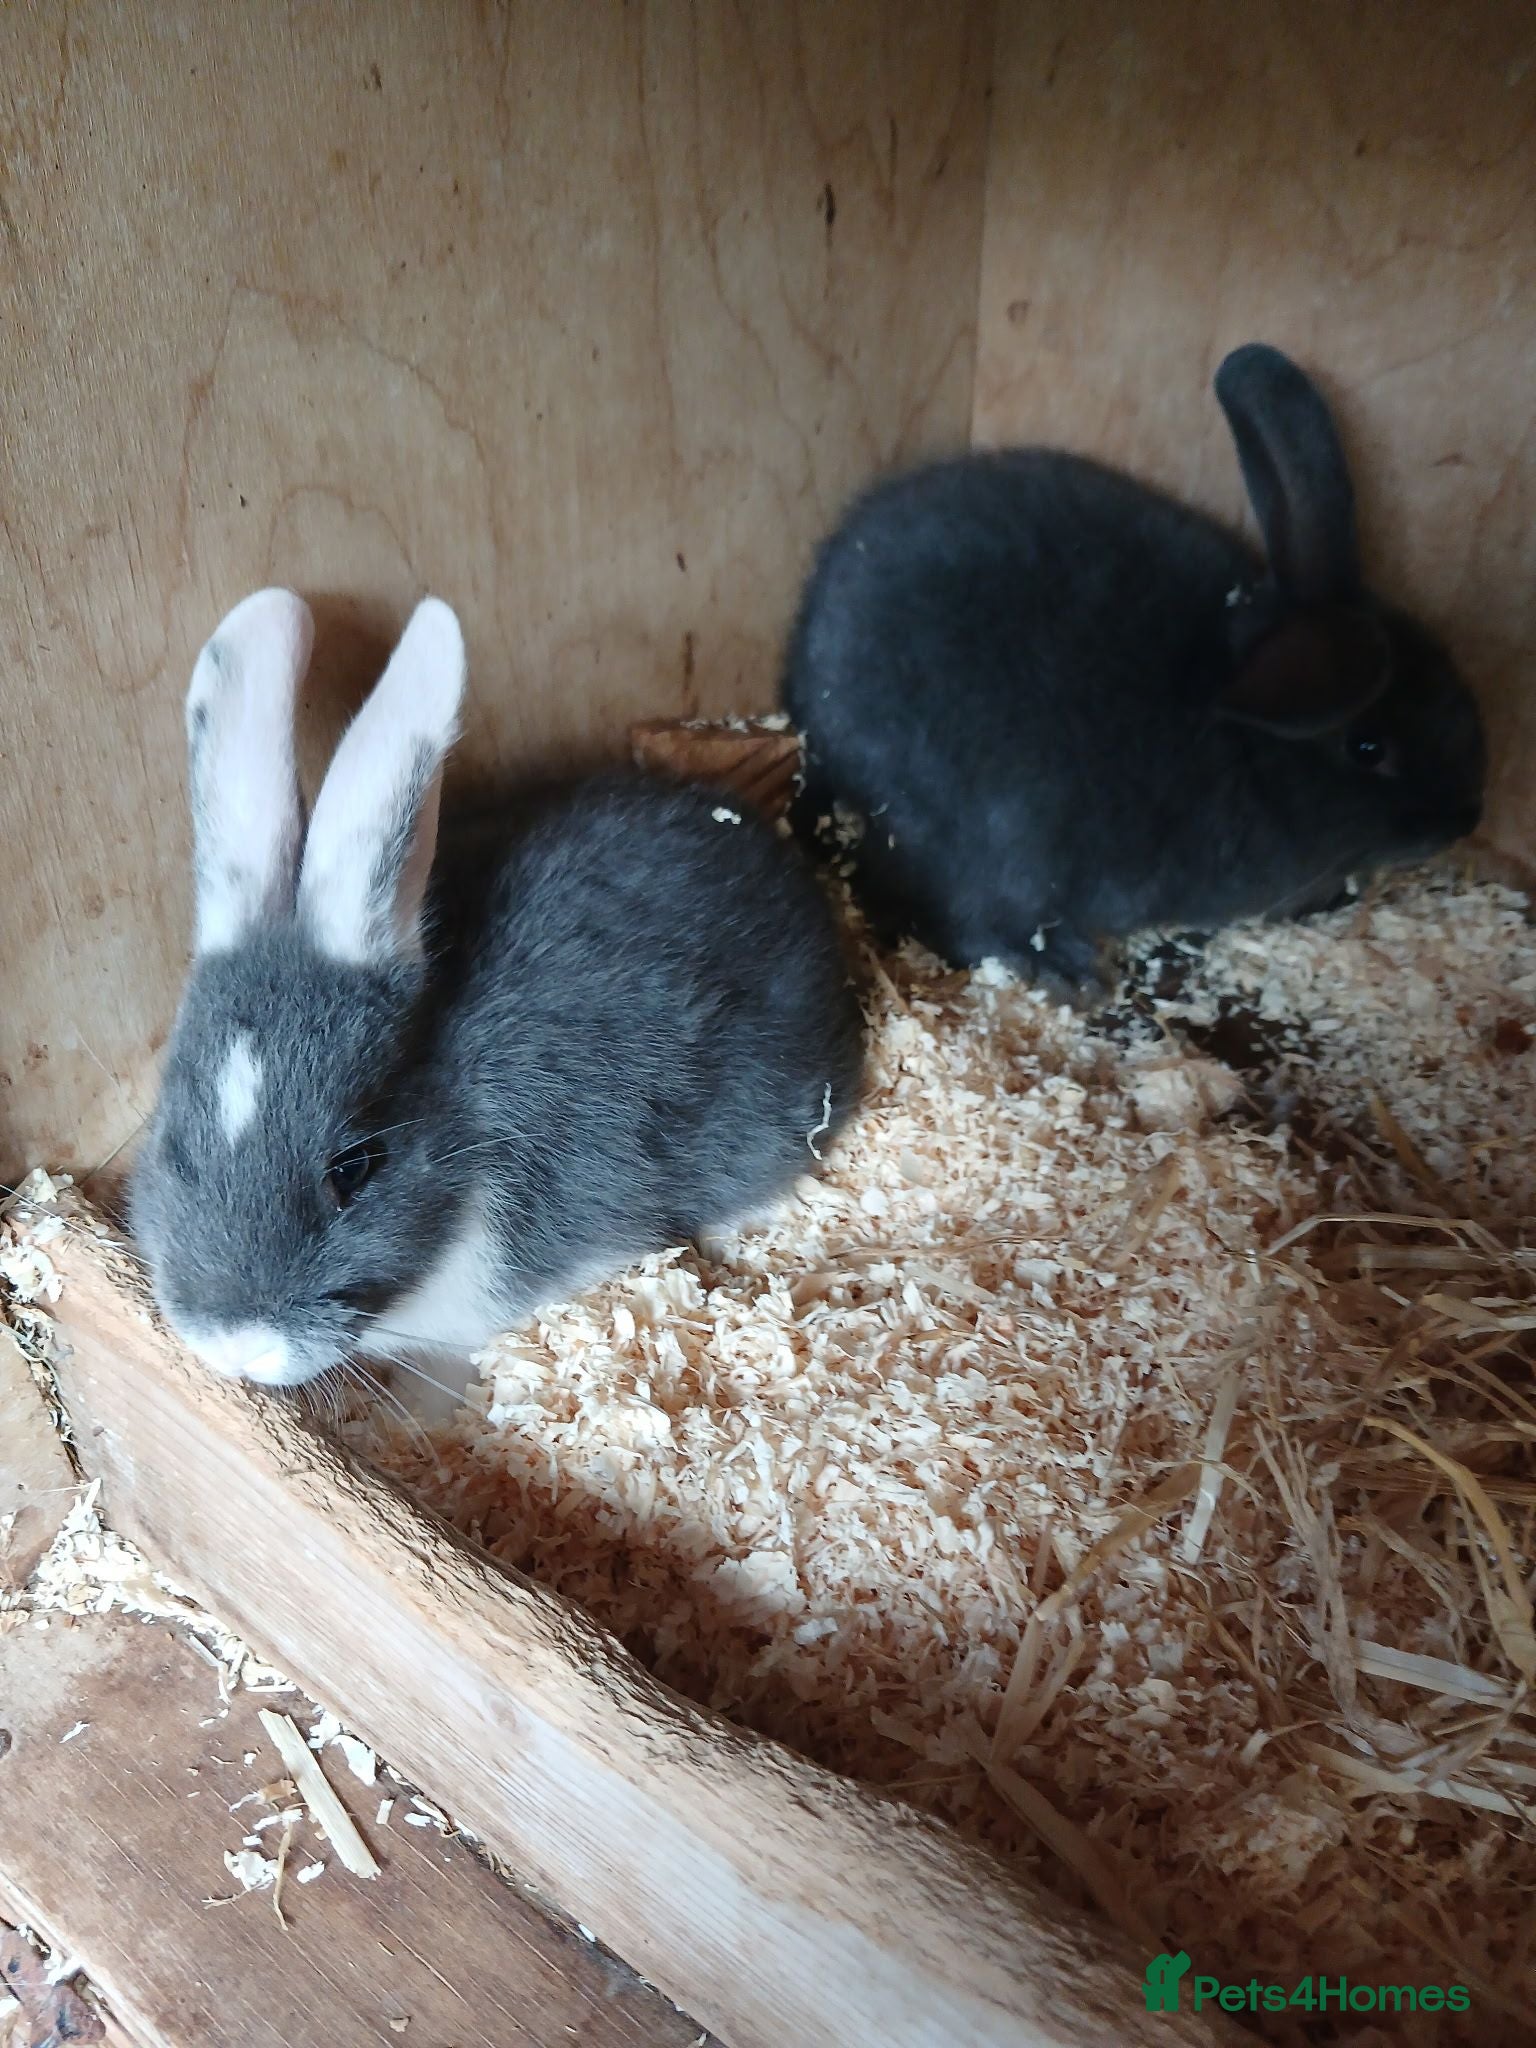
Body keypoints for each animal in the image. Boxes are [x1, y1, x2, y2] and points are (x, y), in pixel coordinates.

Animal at [782, 342, 1486, 995]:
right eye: (1369, 748)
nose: (1466, 820)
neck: (1252, 752)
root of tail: (811, 720)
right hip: (992, 850)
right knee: (960, 918)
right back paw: (1062, 967)